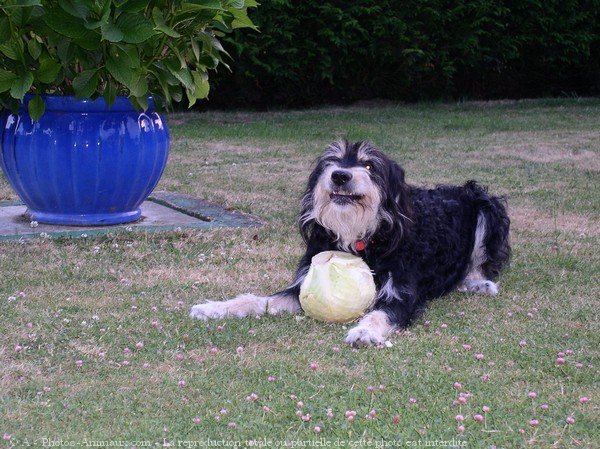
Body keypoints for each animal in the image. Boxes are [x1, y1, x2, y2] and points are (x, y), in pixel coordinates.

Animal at [190, 140, 508, 346]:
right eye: (332, 162)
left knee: (479, 264)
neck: (364, 236)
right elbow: (258, 300)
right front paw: (216, 308)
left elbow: (380, 313)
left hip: (487, 205)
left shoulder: (401, 293)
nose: (340, 175)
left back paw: (479, 283)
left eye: (369, 164)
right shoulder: (299, 288)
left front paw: (365, 332)